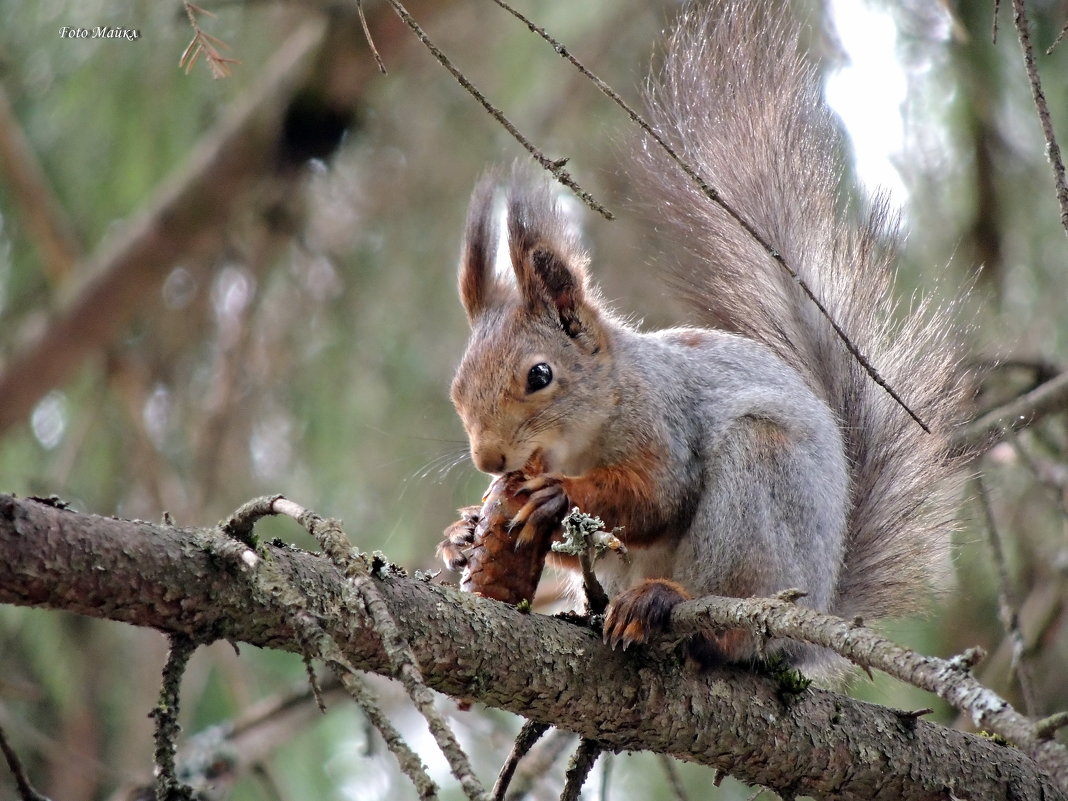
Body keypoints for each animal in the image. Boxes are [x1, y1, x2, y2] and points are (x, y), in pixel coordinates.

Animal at [433, 0, 969, 679]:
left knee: (728, 621)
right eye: (457, 390)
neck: (598, 418)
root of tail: (813, 617)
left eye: (540, 375)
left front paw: (559, 495)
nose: (489, 461)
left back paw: (668, 601)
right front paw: (463, 533)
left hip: (758, 495)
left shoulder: (666, 425)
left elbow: (659, 496)